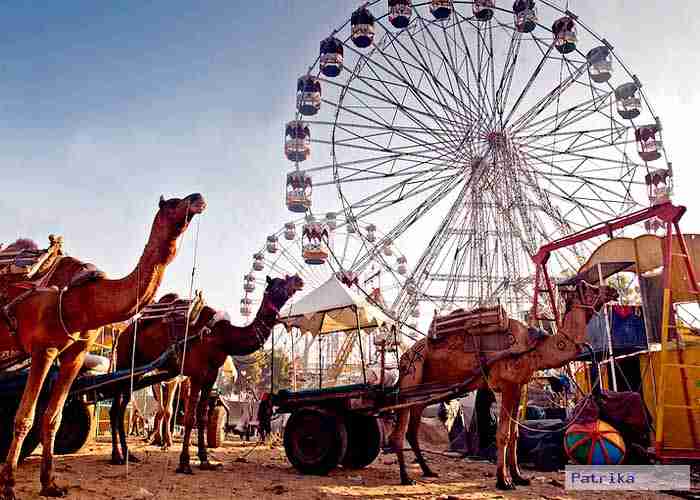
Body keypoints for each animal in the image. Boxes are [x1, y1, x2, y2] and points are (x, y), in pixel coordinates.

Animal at [0, 192, 206, 500]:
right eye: (172, 203)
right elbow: (25, 417)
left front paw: (50, 484)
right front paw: (9, 485)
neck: (84, 300)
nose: (197, 198)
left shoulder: (76, 354)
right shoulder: (43, 349)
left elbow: (53, 418)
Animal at [110, 274, 304, 472]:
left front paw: (205, 460)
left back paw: (129, 455)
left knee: (121, 407)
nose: (299, 280)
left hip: (136, 373)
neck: (222, 336)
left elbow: (202, 417)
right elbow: (190, 418)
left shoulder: (211, 375)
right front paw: (185, 463)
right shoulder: (197, 373)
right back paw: (117, 456)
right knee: (116, 408)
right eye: (280, 283)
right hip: (126, 362)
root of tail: (121, 334)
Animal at [388, 282, 616, 488]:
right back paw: (406, 478)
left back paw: (427, 471)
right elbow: (503, 434)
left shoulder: (519, 386)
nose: (613, 290)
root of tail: (405, 356)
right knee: (399, 432)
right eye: (587, 287)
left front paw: (519, 477)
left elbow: (515, 434)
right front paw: (503, 481)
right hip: (411, 377)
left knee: (411, 431)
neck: (533, 348)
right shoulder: (506, 385)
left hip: (422, 394)